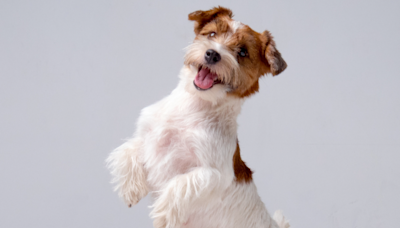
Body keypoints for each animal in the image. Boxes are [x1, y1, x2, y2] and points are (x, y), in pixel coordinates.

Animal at [106, 6, 290, 227]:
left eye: (242, 52)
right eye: (211, 34)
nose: (212, 54)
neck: (194, 106)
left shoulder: (215, 174)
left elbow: (181, 183)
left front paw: (164, 213)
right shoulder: (147, 135)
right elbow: (126, 149)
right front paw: (131, 188)